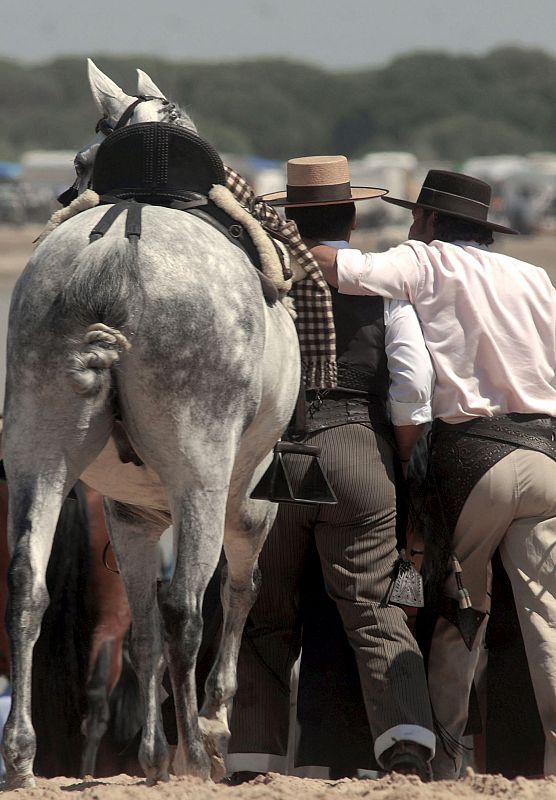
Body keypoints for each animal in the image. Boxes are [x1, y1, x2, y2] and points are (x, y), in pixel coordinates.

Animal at [2, 61, 302, 788]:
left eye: (81, 160)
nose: (65, 192)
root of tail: (112, 264)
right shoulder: (249, 501)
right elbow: (235, 595)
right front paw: (209, 729)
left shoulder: (129, 517)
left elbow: (141, 639)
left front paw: (147, 757)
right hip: (202, 476)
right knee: (188, 607)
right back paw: (194, 753)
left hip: (36, 458)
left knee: (27, 585)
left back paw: (21, 756)